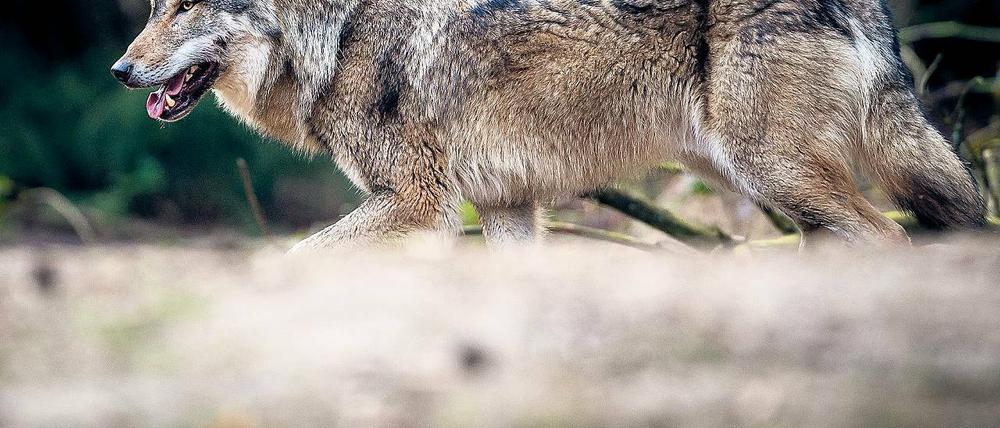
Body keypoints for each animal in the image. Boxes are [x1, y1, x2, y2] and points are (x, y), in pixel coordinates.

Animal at [112, 0, 985, 250]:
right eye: (155, 4)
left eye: (187, 5)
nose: (120, 70)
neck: (338, 28)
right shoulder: (504, 206)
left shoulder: (417, 203)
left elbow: (297, 257)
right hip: (778, 192)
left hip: (776, 176)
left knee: (894, 237)